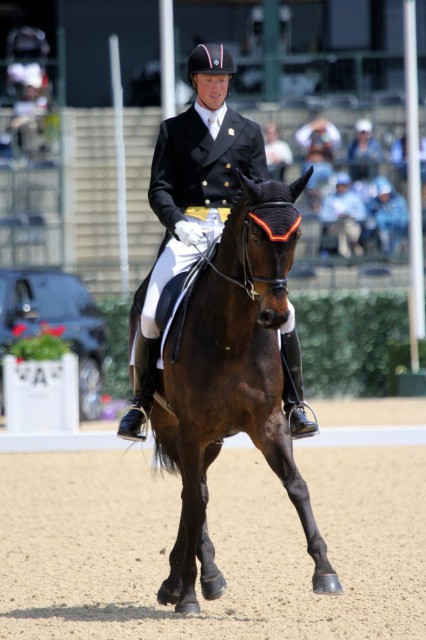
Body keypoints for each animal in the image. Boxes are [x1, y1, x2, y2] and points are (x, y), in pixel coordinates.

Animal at [129, 169, 342, 616]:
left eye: (296, 236)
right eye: (256, 235)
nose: (275, 315)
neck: (234, 335)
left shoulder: (269, 423)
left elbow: (296, 485)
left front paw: (325, 572)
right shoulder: (190, 428)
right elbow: (195, 502)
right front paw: (188, 596)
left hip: (213, 440)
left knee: (196, 491)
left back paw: (196, 577)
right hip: (171, 427)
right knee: (193, 494)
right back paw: (188, 581)